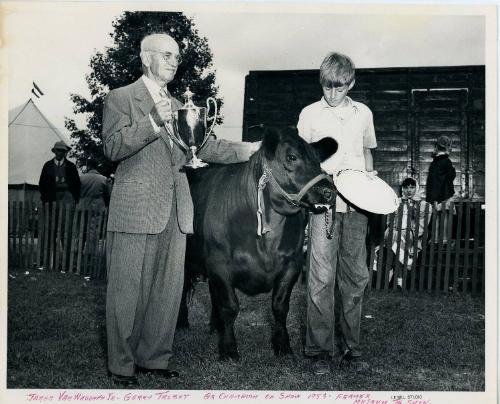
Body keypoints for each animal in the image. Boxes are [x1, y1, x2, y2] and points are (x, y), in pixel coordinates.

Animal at [182, 127, 338, 360]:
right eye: (291, 157)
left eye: (319, 161)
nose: (329, 192)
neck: (266, 242)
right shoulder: (219, 264)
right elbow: (229, 306)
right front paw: (228, 349)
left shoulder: (292, 264)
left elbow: (280, 306)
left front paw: (282, 345)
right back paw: (182, 324)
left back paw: (214, 326)